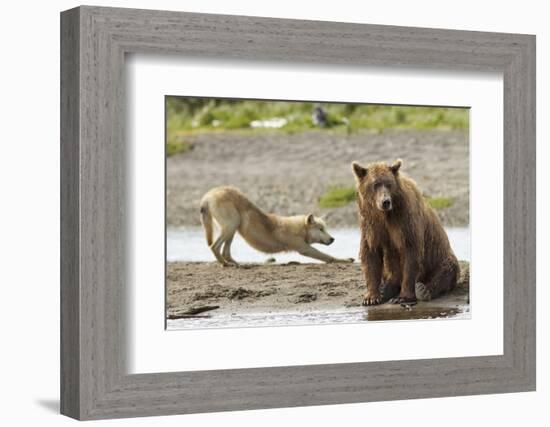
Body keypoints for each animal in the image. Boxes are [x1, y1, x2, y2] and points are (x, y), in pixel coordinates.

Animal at [201, 186, 356, 266]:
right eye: (321, 229)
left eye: (325, 228)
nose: (332, 239)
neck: (301, 229)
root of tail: (209, 195)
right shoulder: (304, 248)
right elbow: (328, 257)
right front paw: (344, 260)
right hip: (232, 224)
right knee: (214, 246)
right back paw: (225, 263)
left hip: (232, 228)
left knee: (225, 251)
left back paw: (235, 263)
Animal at [354, 159, 462, 306]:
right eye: (375, 184)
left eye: (389, 183)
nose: (385, 202)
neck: (385, 215)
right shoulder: (371, 224)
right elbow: (371, 252)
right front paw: (371, 297)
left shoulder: (405, 220)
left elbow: (410, 252)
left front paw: (403, 297)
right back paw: (386, 289)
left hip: (440, 257)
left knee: (445, 270)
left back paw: (423, 290)